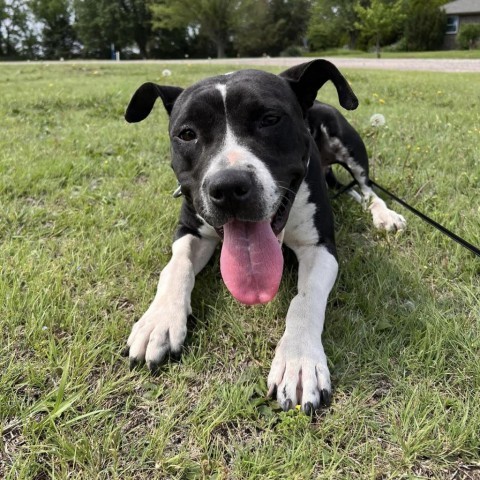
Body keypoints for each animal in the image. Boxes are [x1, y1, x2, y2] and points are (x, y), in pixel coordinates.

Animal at [123, 59, 404, 412]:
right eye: (187, 134)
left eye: (270, 120)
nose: (229, 187)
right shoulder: (189, 230)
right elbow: (176, 267)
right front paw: (158, 321)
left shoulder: (319, 246)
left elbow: (304, 298)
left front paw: (299, 359)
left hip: (346, 141)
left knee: (367, 188)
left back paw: (384, 215)